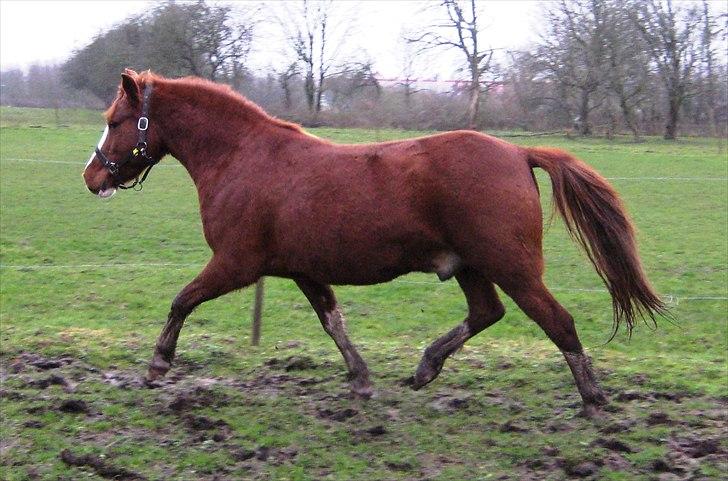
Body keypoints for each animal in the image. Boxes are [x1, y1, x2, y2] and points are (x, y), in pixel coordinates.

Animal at [82, 69, 664, 414]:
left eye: (116, 120)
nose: (92, 177)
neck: (243, 158)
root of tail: (518, 153)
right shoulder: (303, 270)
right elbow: (333, 322)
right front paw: (361, 380)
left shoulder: (235, 264)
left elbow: (181, 300)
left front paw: (158, 365)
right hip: (472, 266)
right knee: (487, 312)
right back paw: (427, 366)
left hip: (513, 267)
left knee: (558, 322)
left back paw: (593, 400)